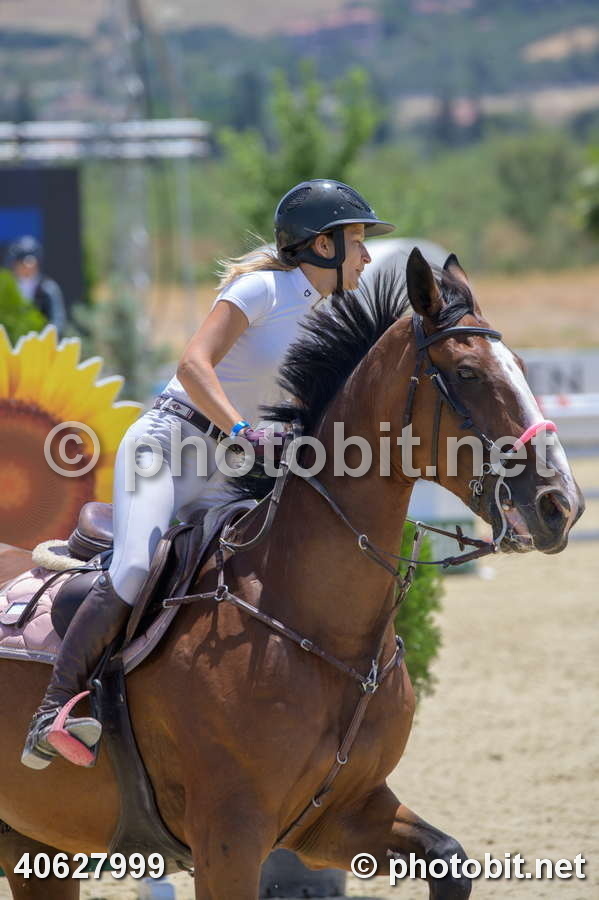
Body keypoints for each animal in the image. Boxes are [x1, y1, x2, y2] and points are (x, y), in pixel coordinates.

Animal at [0, 250, 583, 899]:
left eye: (523, 367)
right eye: (467, 373)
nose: (561, 505)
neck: (316, 626)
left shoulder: (340, 817)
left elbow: (450, 859)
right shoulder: (228, 839)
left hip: (35, 843)